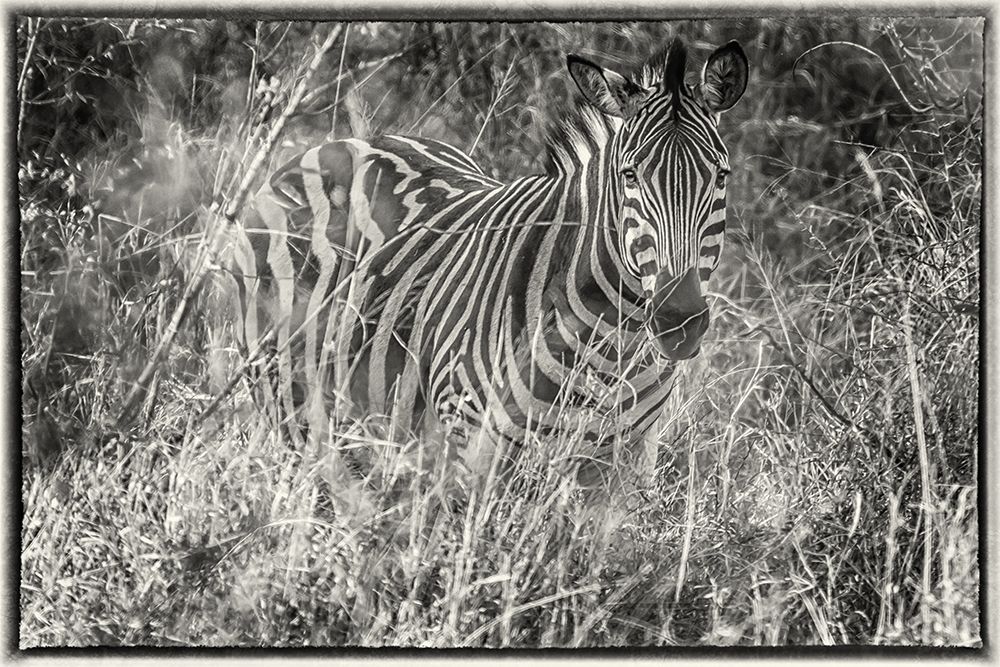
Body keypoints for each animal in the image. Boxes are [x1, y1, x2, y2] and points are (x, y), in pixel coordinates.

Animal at [231, 38, 748, 484]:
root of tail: (331, 145)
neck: (615, 339)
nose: (680, 321)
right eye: (630, 176)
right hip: (287, 397)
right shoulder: (472, 441)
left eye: (722, 176)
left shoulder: (622, 463)